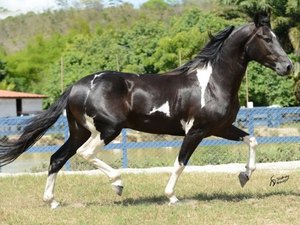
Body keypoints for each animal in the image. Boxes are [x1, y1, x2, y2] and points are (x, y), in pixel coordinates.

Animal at [0, 11, 292, 209]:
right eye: (266, 38)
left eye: (276, 37)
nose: (288, 66)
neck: (212, 83)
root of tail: (76, 85)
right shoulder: (196, 131)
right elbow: (180, 163)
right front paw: (172, 197)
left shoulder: (220, 128)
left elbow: (252, 140)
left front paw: (244, 175)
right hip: (107, 130)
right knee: (85, 154)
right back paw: (118, 184)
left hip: (79, 131)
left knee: (56, 159)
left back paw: (52, 201)